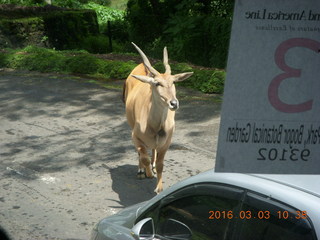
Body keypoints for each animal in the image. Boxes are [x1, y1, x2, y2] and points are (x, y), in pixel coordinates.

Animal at [122, 42, 192, 193]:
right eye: (157, 83)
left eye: (173, 82)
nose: (174, 103)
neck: (155, 126)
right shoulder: (135, 136)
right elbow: (144, 157)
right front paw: (147, 173)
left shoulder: (166, 143)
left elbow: (160, 164)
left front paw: (159, 188)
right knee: (141, 153)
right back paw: (141, 171)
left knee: (153, 150)